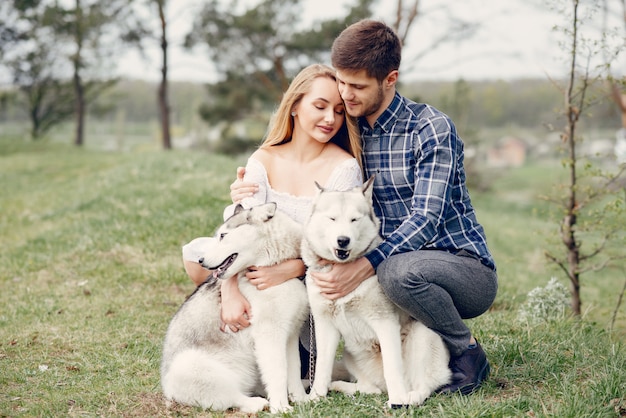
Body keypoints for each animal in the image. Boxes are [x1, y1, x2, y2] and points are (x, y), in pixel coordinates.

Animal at [160, 203, 308, 414]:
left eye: (223, 235)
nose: (201, 260)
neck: (272, 269)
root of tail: (167, 390)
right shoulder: (270, 335)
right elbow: (279, 372)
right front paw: (280, 407)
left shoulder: (290, 333)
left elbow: (293, 369)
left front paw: (301, 399)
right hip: (193, 367)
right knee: (232, 397)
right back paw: (256, 403)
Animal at [302, 177, 448, 408]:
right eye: (332, 218)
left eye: (354, 219)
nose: (343, 240)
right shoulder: (325, 325)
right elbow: (322, 369)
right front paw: (315, 397)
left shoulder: (385, 323)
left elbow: (392, 368)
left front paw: (397, 400)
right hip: (351, 353)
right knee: (371, 389)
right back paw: (341, 386)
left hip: (422, 335)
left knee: (422, 387)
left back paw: (407, 398)